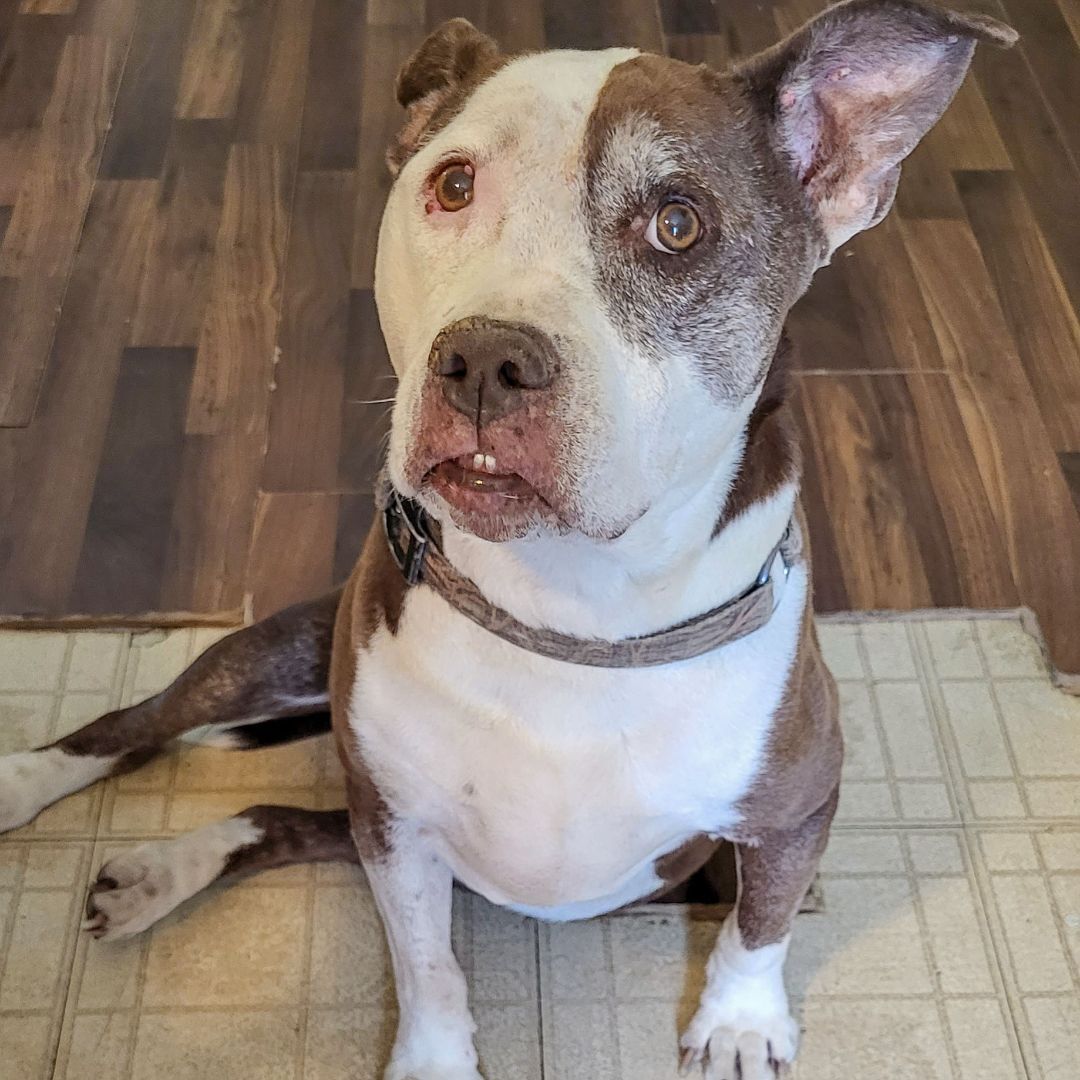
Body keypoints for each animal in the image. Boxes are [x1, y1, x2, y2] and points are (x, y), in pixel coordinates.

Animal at [0, 4, 1010, 1075]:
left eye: (678, 224)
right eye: (453, 185)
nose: (485, 359)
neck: (575, 614)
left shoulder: (795, 806)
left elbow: (761, 921)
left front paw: (739, 1022)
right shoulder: (398, 822)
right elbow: (426, 962)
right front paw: (435, 1058)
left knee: (285, 820)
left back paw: (164, 871)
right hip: (287, 655)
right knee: (148, 719)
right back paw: (34, 787)